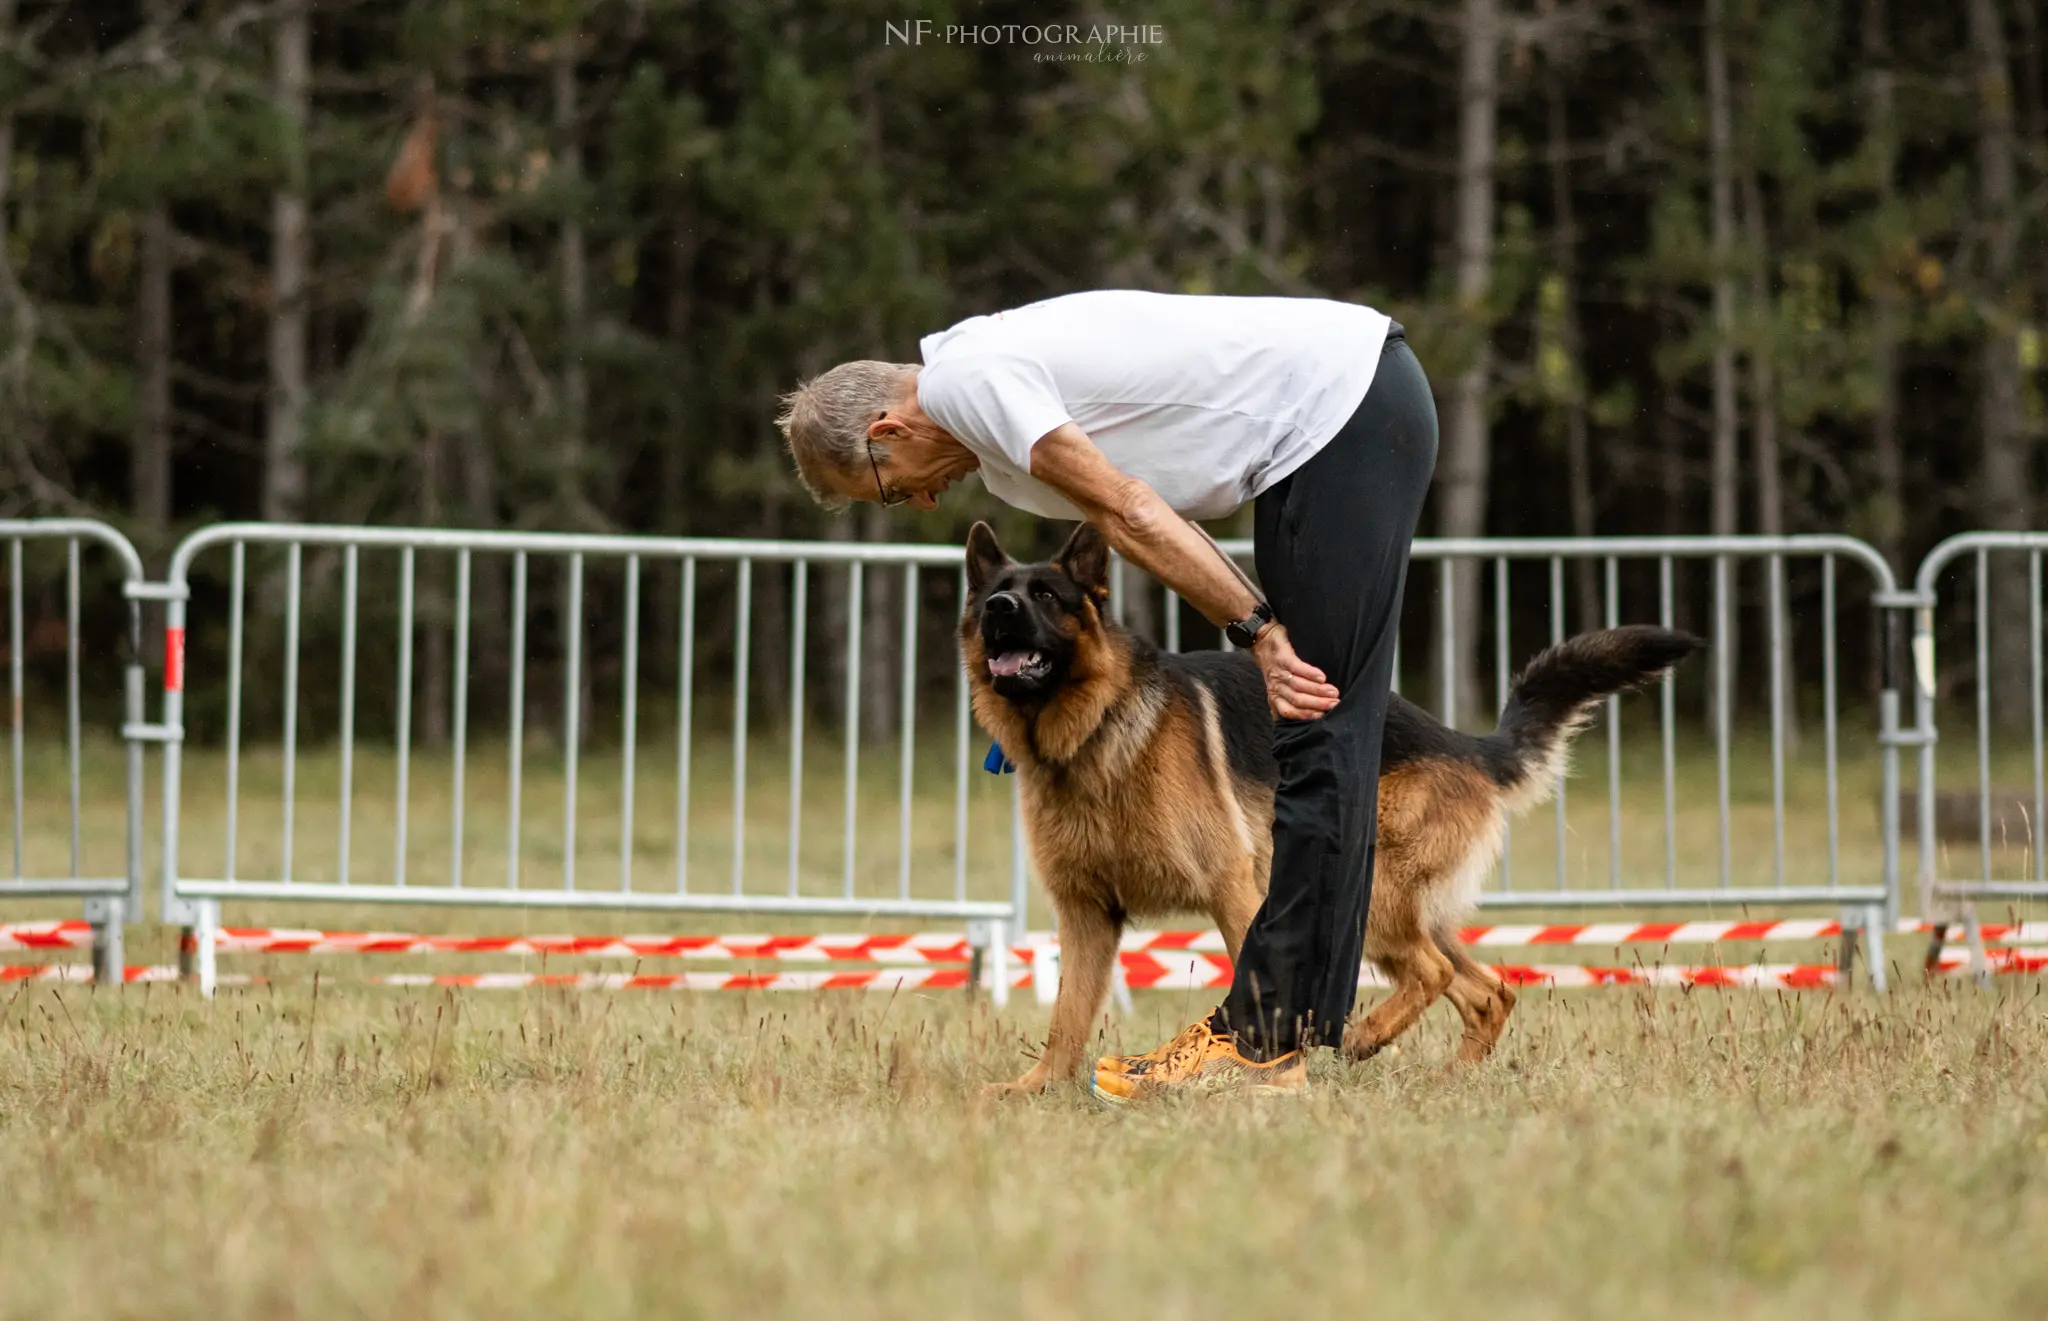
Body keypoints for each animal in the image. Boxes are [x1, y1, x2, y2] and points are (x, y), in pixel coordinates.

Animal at [966, 520, 1703, 1097]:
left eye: (1046, 596)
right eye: (996, 596)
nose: (998, 607)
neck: (1091, 735)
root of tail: (1465, 742)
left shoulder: (1237, 890)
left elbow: (1259, 982)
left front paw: (1266, 1070)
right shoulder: (1087, 916)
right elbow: (1067, 1014)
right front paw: (1038, 1087)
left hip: (1367, 897)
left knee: (1436, 972)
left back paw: (1365, 1036)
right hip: (1389, 910)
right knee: (1487, 990)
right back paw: (1445, 1079)